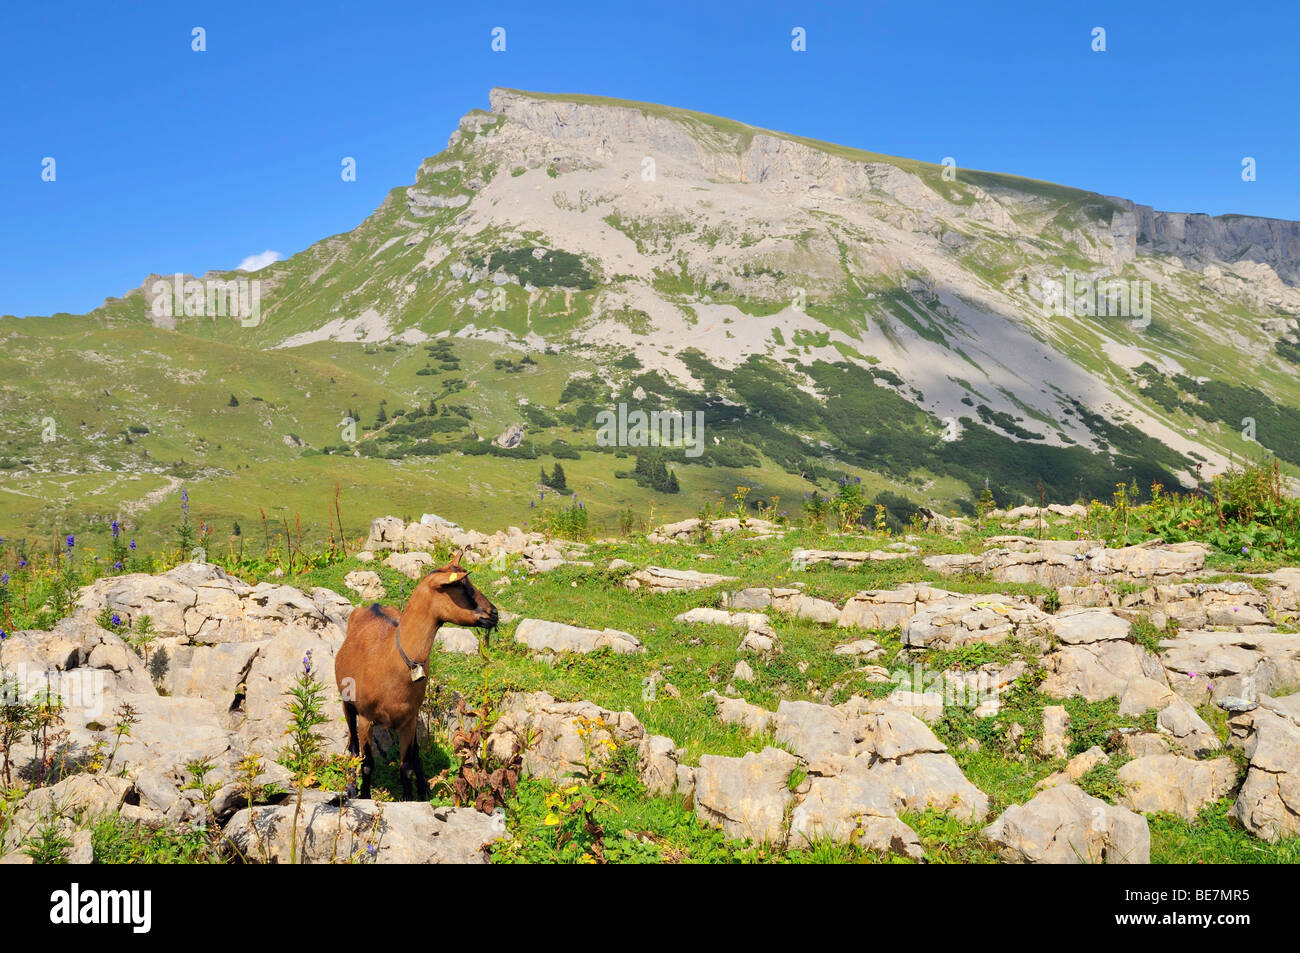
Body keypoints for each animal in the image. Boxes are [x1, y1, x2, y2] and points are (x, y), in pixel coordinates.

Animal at [334, 550, 498, 800]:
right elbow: (367, 764)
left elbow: (406, 767)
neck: (390, 659)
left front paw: (410, 799)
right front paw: (363, 796)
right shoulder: (365, 717)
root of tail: (373, 606)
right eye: (461, 586)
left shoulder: (408, 720)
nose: (495, 614)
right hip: (348, 704)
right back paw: (352, 787)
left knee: (415, 755)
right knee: (353, 747)